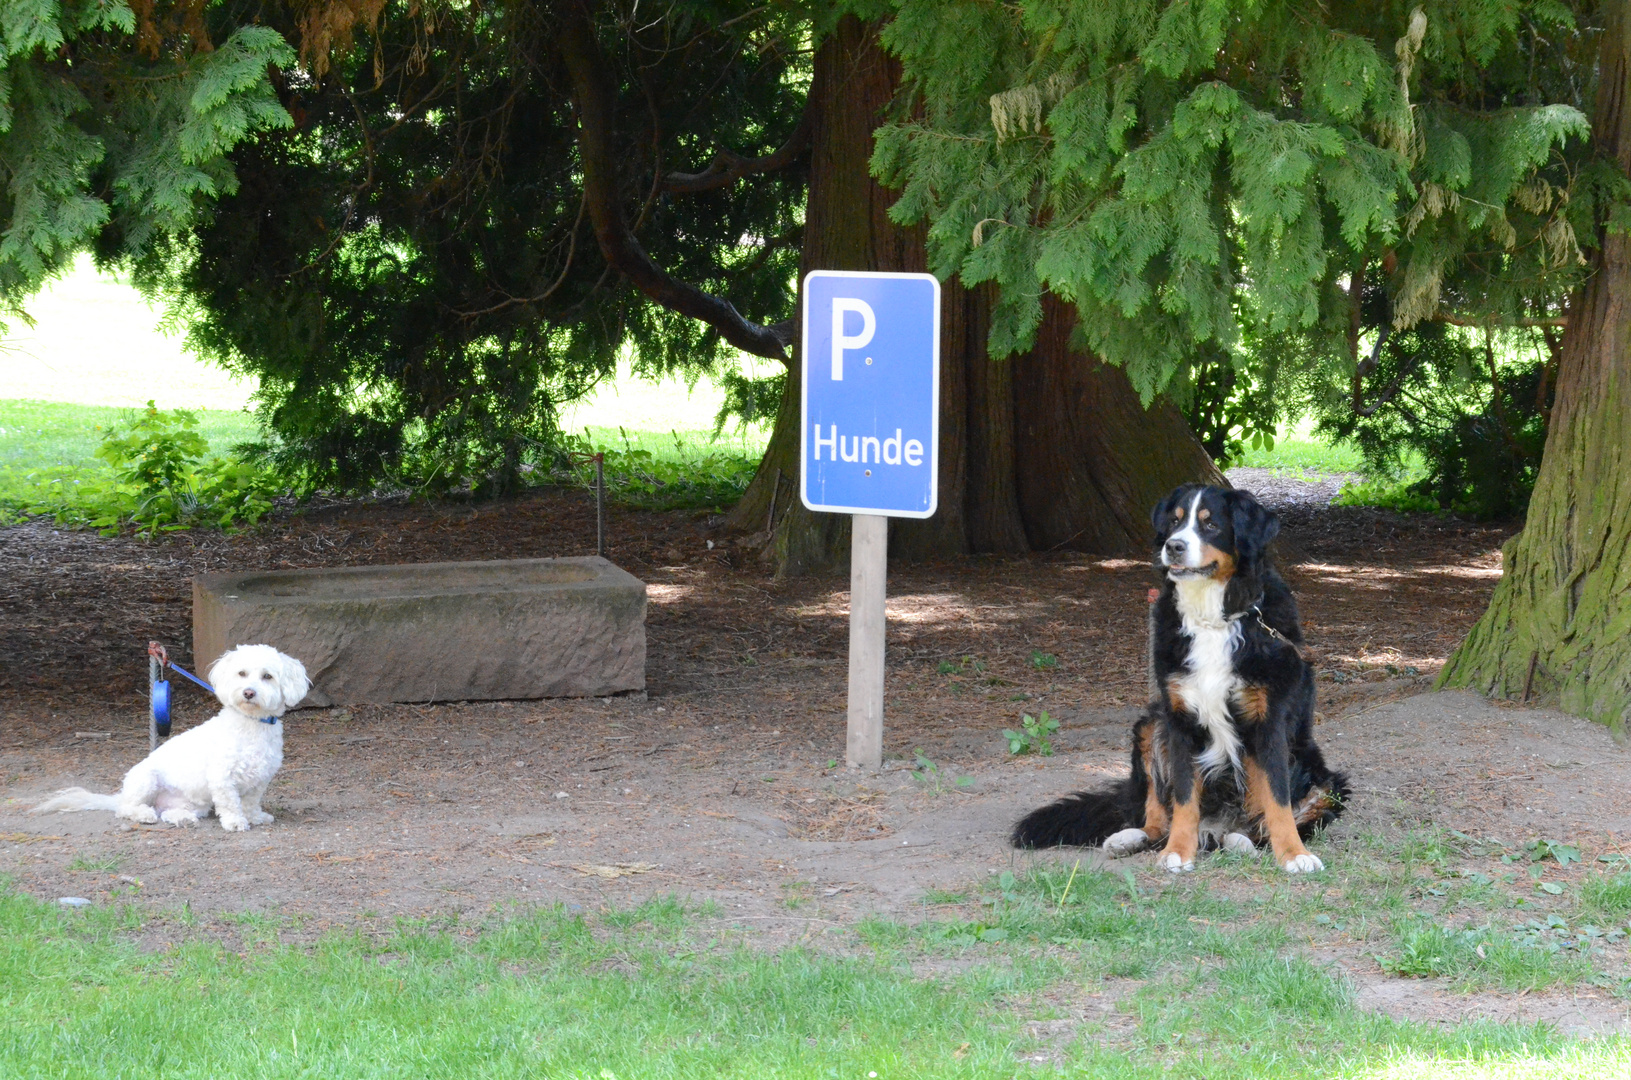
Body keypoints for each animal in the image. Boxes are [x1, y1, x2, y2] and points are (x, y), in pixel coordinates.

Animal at [32, 646, 308, 832]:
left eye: (267, 676)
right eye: (241, 673)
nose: (249, 692)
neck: (252, 724)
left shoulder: (260, 778)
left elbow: (250, 802)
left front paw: (255, 817)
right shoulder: (222, 777)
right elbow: (231, 803)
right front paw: (235, 822)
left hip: (193, 803)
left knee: (168, 812)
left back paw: (181, 818)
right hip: (145, 780)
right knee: (126, 809)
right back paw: (143, 814)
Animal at [1011, 486, 1343, 874]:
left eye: (1211, 524)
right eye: (1174, 521)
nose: (1174, 546)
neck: (1212, 617)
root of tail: (1217, 826)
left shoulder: (1269, 721)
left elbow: (1278, 798)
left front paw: (1293, 854)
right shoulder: (1180, 718)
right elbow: (1184, 795)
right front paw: (1179, 852)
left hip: (1324, 780)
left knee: (1259, 825)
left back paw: (1241, 842)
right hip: (1151, 724)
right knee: (1156, 816)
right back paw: (1131, 838)